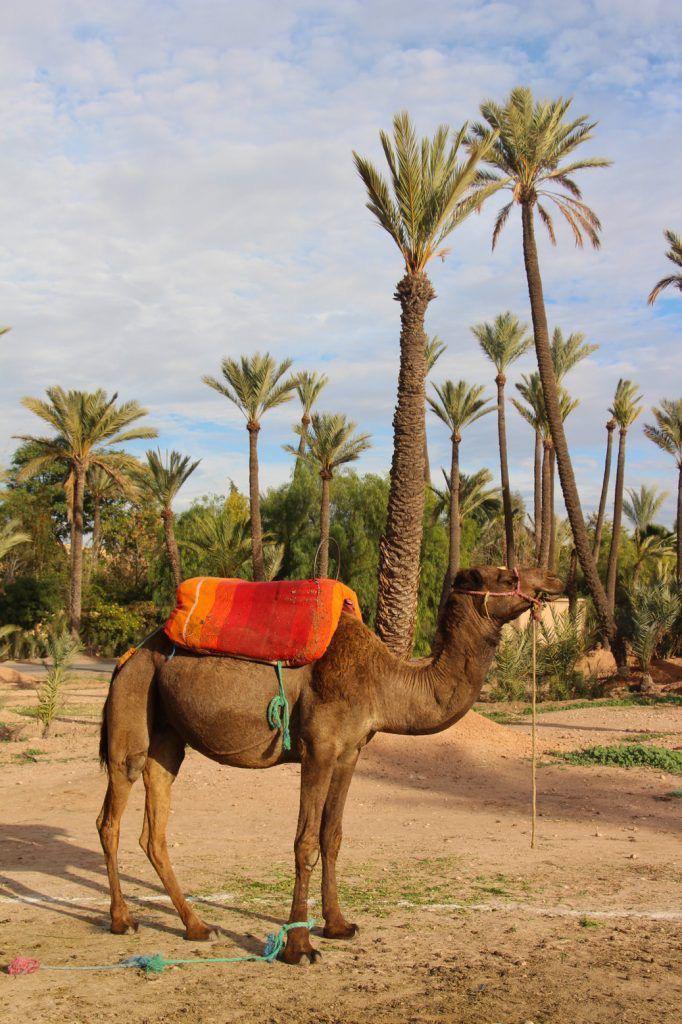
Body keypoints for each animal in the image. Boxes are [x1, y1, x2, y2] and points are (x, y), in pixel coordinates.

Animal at [96, 565, 561, 962]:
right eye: (504, 575)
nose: (554, 580)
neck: (382, 683)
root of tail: (129, 656)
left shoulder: (349, 752)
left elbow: (331, 836)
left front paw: (338, 925)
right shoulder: (318, 749)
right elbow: (304, 842)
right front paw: (299, 947)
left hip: (168, 737)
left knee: (154, 830)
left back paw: (196, 925)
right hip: (133, 707)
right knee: (111, 815)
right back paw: (123, 920)